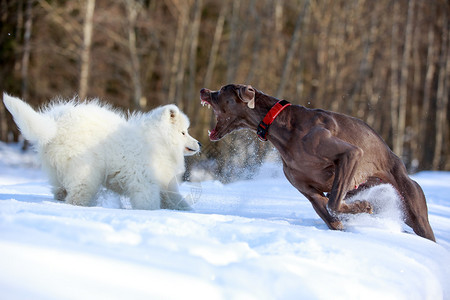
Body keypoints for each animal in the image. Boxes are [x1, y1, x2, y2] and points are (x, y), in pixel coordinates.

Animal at [3, 92, 200, 210]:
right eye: (183, 132)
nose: (198, 142)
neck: (158, 141)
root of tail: (56, 125)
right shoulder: (144, 183)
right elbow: (148, 203)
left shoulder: (165, 185)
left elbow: (176, 200)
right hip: (86, 173)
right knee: (76, 196)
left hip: (57, 172)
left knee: (60, 191)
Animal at [200, 84, 436, 241]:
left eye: (221, 90)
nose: (203, 90)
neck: (281, 126)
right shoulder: (309, 191)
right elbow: (330, 213)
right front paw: (356, 212)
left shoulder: (350, 154)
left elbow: (334, 202)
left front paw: (363, 206)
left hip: (412, 204)